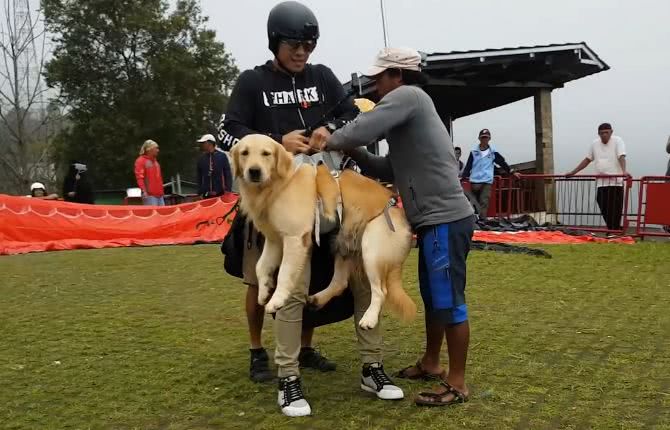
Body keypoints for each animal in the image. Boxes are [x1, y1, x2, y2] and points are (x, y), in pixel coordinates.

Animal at [234, 133, 418, 328]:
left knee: (380, 291)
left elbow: (284, 272)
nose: (254, 171)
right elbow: (260, 266)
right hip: (343, 243)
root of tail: (399, 210)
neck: (280, 183)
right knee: (340, 282)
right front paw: (263, 292)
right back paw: (317, 299)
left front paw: (276, 300)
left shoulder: (294, 238)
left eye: (266, 153)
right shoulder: (274, 240)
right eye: (244, 153)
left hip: (371, 251)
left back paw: (369, 318)